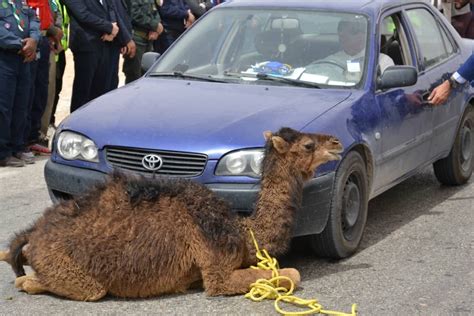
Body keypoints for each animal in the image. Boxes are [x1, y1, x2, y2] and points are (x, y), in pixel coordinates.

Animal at [0, 127, 340, 300]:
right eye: (308, 145)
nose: (337, 142)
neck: (242, 230)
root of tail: (34, 233)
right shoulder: (217, 273)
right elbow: (291, 274)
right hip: (69, 269)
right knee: (67, 286)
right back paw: (24, 276)